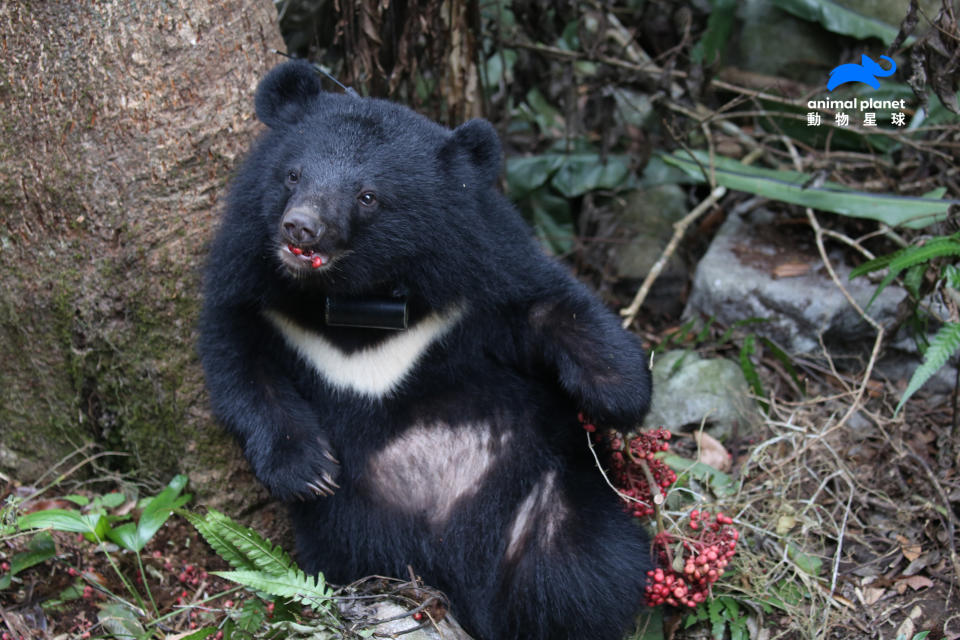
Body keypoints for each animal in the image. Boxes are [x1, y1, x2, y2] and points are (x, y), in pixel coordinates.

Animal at [200, 61, 656, 640]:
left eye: (368, 196)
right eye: (293, 175)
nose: (302, 228)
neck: (359, 295)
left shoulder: (481, 265)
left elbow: (547, 304)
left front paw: (621, 393)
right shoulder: (248, 276)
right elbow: (238, 364)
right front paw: (309, 471)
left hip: (548, 500)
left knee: (588, 573)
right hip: (352, 537)